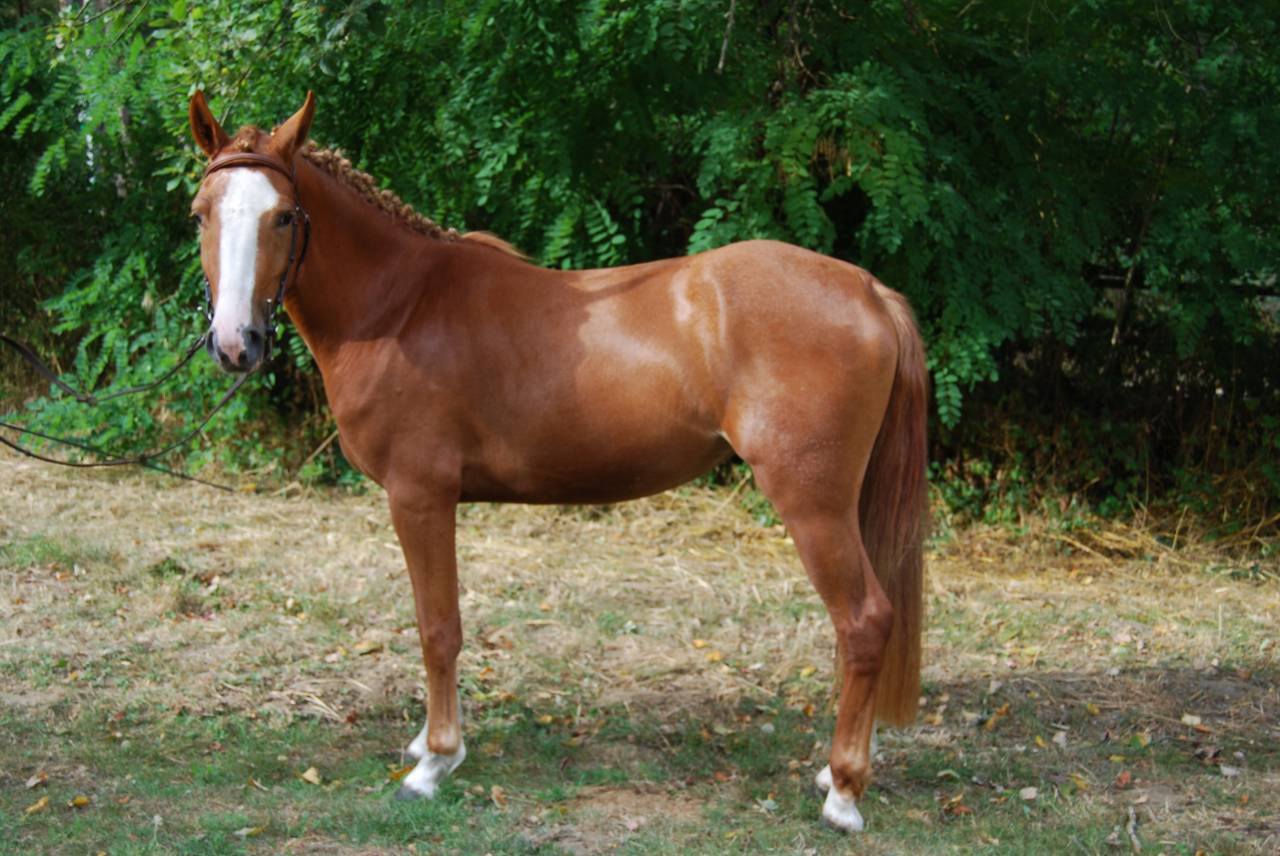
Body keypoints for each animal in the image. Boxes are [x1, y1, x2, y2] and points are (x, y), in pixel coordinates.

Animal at [186, 90, 928, 833]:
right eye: (200, 212)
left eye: (283, 215)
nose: (235, 343)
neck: (398, 307)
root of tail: (868, 290)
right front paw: (429, 745)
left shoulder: (420, 496)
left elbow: (438, 628)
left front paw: (435, 763)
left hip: (812, 503)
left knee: (864, 622)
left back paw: (843, 793)